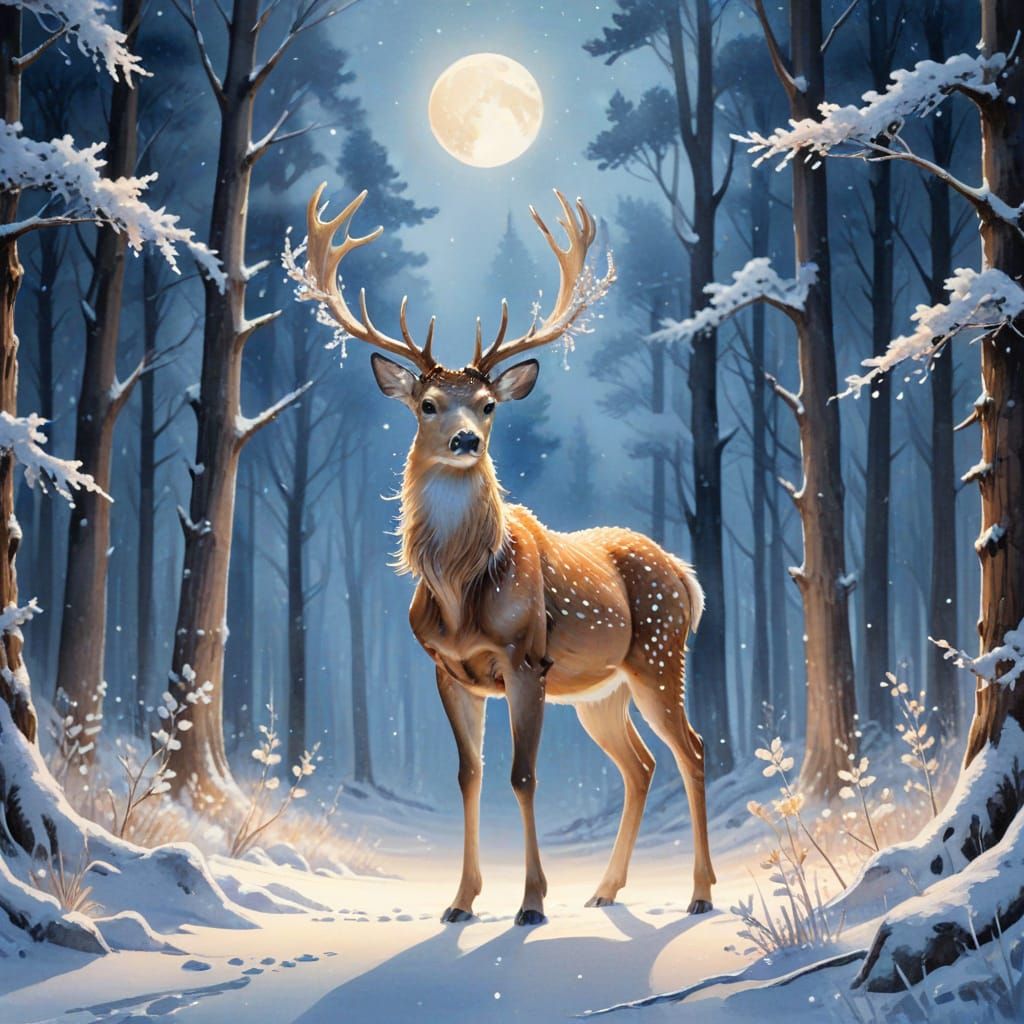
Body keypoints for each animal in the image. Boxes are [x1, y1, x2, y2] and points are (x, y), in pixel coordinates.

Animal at [297, 184, 716, 926]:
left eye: (490, 405)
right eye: (428, 403)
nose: (466, 440)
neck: (461, 593)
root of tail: (685, 576)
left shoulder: (527, 657)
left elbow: (523, 776)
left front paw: (531, 903)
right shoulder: (449, 670)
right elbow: (470, 775)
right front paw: (461, 901)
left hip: (660, 655)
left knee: (692, 750)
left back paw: (699, 892)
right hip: (600, 689)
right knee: (640, 765)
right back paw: (605, 889)